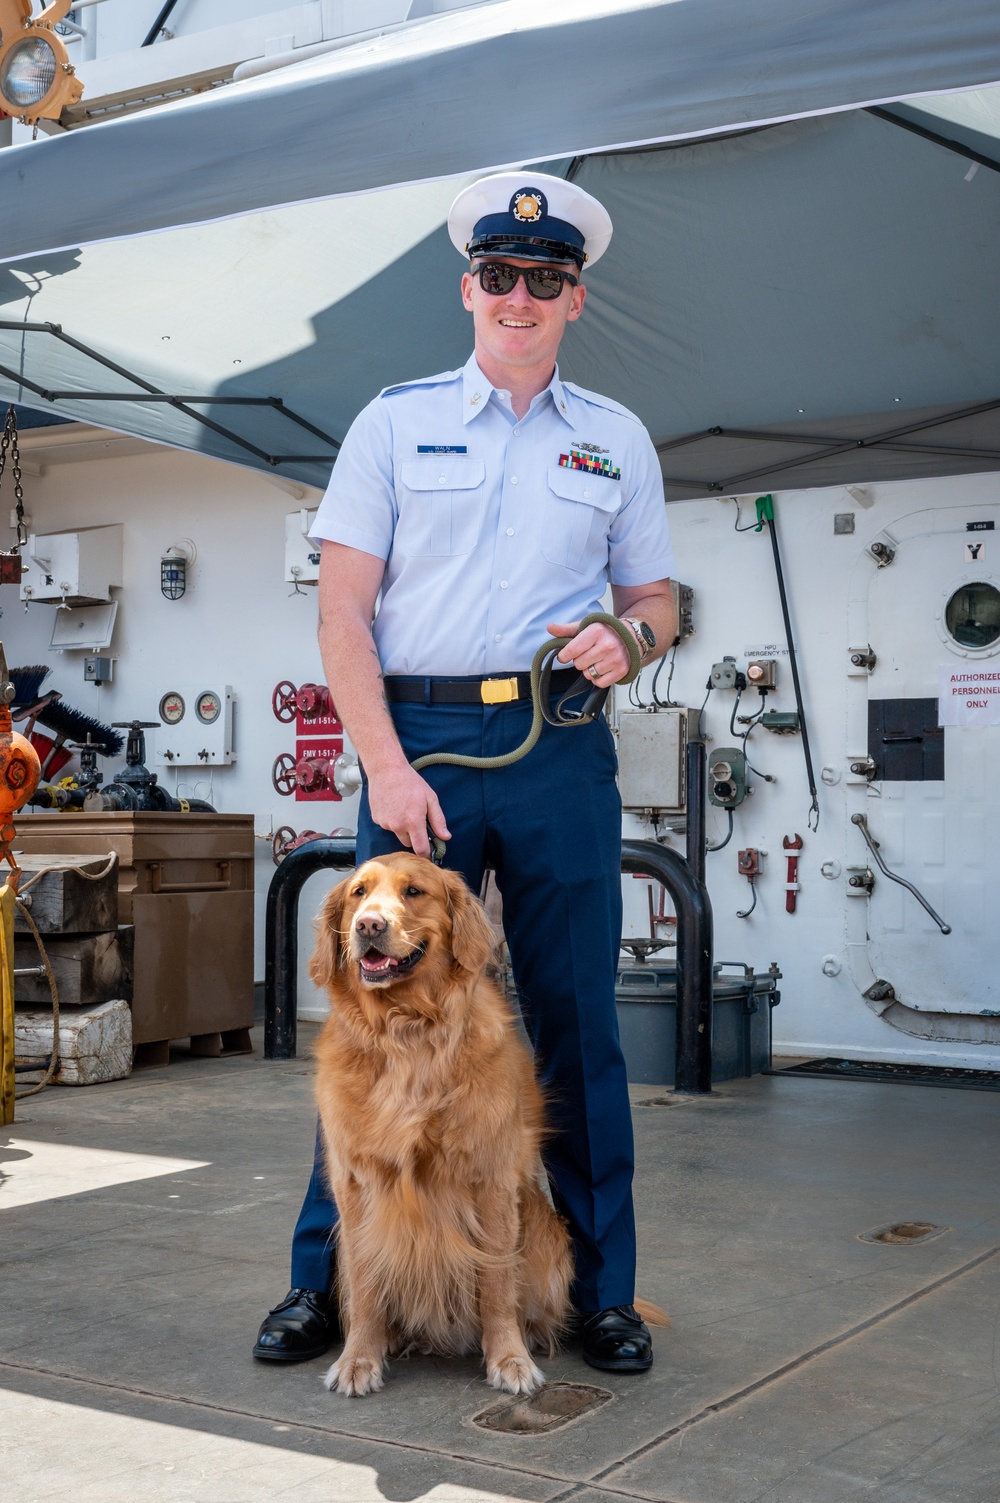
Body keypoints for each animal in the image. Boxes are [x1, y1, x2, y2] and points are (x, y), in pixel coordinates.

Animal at [312, 853, 577, 1388]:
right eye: (357, 893)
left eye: (414, 891)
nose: (368, 925)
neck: (406, 1031)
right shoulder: (355, 1184)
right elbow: (366, 1282)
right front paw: (358, 1359)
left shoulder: (491, 1180)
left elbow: (497, 1281)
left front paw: (510, 1358)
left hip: (545, 1232)